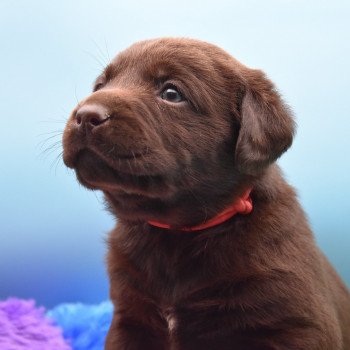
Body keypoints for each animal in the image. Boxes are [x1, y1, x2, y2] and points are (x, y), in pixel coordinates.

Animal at [63, 37, 350, 348]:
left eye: (172, 93)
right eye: (100, 85)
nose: (85, 116)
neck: (176, 234)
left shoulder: (295, 325)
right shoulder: (129, 319)